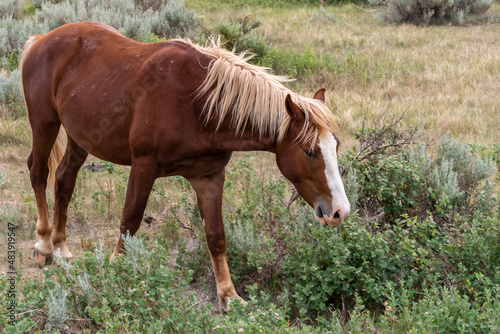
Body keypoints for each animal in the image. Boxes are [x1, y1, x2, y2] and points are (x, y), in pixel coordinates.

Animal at [18, 20, 348, 308]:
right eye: (309, 151)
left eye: (336, 146)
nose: (339, 212)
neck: (197, 104)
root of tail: (43, 39)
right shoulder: (144, 167)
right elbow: (130, 221)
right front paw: (115, 273)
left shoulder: (209, 176)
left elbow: (216, 235)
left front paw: (229, 296)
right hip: (45, 123)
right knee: (39, 172)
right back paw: (44, 246)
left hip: (80, 137)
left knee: (64, 180)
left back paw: (61, 248)